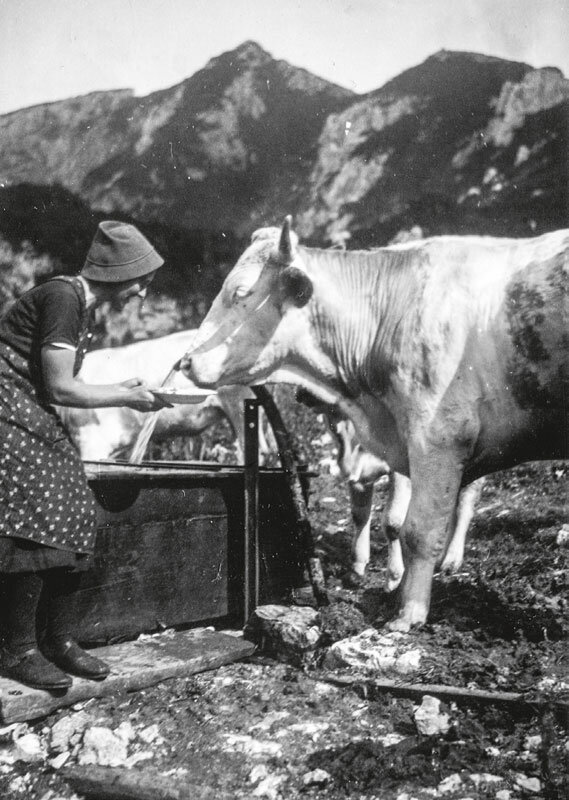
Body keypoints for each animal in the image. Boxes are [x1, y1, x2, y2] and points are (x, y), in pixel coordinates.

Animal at [180, 217, 564, 632]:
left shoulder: (438, 437)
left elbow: (415, 529)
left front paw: (408, 611)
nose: (184, 362)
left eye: (240, 291)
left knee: (466, 501)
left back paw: (450, 560)